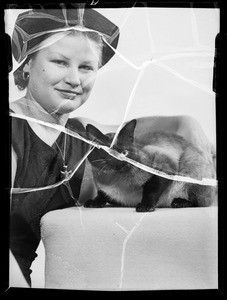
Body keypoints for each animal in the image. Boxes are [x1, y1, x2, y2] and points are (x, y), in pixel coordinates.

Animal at [84, 118, 216, 212]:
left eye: (124, 152)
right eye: (108, 152)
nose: (118, 161)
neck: (113, 179)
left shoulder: (164, 165)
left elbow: (151, 189)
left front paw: (145, 206)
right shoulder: (103, 188)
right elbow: (101, 195)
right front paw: (93, 203)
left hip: (189, 167)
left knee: (201, 203)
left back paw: (179, 202)